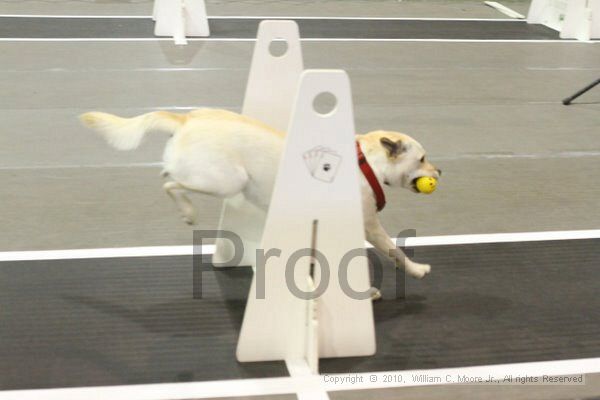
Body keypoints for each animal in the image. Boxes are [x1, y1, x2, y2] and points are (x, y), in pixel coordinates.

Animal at [79, 108, 440, 280]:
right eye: (423, 158)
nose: (440, 173)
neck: (366, 163)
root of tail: (185, 117)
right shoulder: (369, 226)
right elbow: (395, 251)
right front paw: (416, 269)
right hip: (225, 180)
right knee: (169, 181)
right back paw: (188, 212)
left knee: (167, 175)